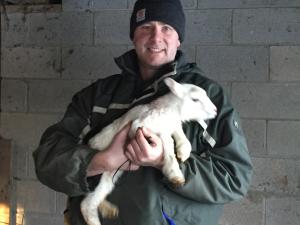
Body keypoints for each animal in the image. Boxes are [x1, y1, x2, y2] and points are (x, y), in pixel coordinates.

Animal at [81, 78, 217, 225]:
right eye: (195, 99)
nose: (215, 110)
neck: (171, 110)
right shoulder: (141, 127)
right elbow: (167, 144)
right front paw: (175, 176)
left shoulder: (173, 125)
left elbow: (182, 138)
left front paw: (183, 153)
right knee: (85, 204)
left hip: (110, 175)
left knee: (93, 198)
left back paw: (108, 210)